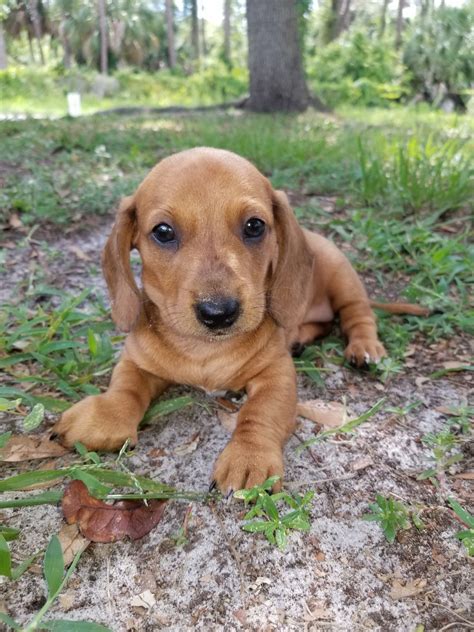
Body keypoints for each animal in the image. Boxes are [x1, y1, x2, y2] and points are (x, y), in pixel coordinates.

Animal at [53, 148, 424, 494]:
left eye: (254, 226)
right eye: (163, 231)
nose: (219, 313)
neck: (204, 351)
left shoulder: (276, 374)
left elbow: (259, 411)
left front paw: (249, 455)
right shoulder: (136, 360)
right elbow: (125, 386)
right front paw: (107, 414)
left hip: (342, 278)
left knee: (357, 314)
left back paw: (365, 347)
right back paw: (301, 337)